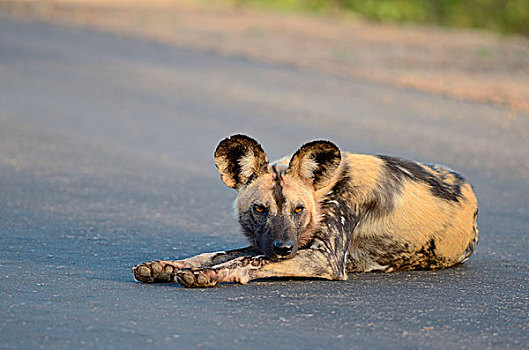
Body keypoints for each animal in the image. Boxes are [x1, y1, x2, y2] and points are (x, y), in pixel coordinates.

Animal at [133, 134, 478, 288]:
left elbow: (247, 261)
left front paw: (205, 275)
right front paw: (166, 266)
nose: (284, 249)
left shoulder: (323, 257)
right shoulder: (272, 242)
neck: (327, 190)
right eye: (260, 209)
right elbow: (215, 254)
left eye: (298, 209)